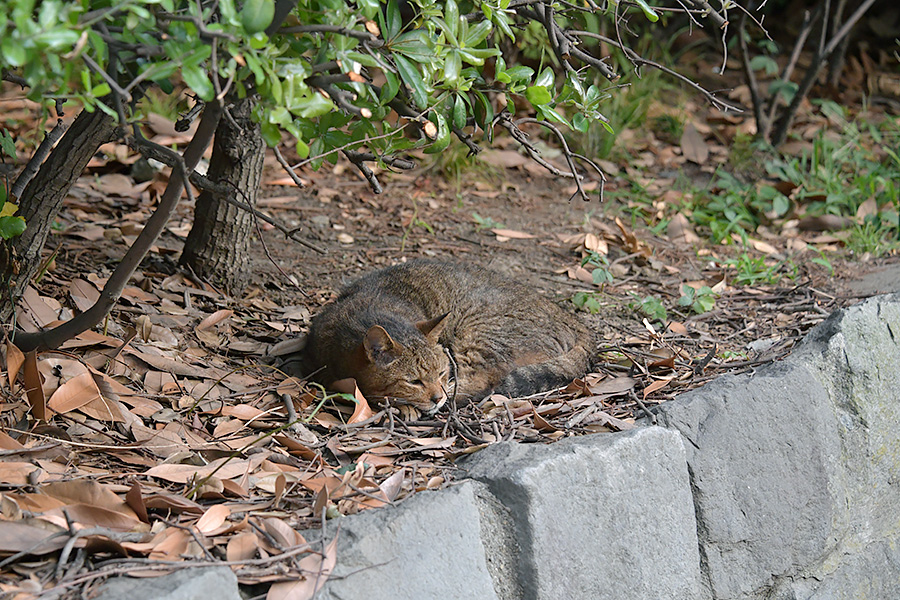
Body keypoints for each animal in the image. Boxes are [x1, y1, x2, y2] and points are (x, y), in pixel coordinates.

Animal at [302, 260, 592, 414]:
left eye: (441, 374)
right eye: (414, 381)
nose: (436, 397)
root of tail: (574, 320)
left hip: (479, 333)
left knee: (483, 381)